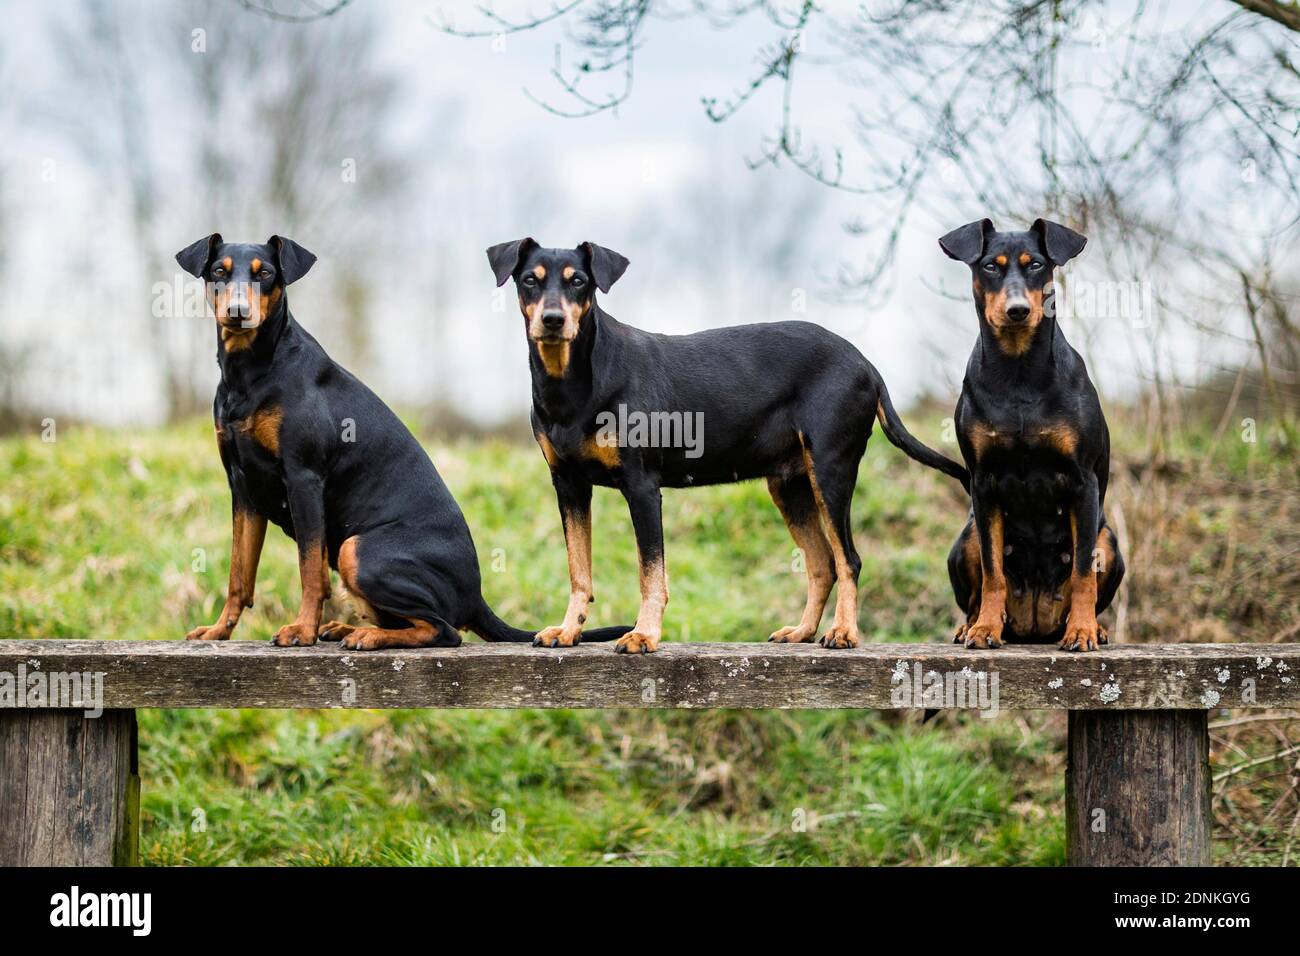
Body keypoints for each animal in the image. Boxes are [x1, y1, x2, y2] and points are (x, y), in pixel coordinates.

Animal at [178, 232, 634, 650]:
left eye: (265, 274)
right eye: (219, 271)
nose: (238, 313)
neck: (251, 372)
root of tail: (475, 598)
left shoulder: (303, 478)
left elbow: (309, 572)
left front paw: (302, 630)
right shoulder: (243, 488)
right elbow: (239, 574)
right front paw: (218, 631)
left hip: (355, 550)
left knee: (445, 631)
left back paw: (366, 635)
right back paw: (349, 628)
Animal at [480, 240, 967, 658]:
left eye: (579, 280)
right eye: (530, 280)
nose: (553, 320)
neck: (574, 383)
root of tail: (867, 364)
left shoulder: (642, 487)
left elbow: (650, 573)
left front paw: (643, 635)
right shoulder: (569, 485)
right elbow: (578, 570)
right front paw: (567, 631)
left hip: (831, 470)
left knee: (848, 559)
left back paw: (843, 632)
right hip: (790, 484)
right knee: (821, 562)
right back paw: (803, 631)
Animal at [941, 218, 1123, 650]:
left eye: (1036, 264)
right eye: (990, 266)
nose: (1018, 310)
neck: (1018, 368)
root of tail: (1035, 624)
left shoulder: (1083, 481)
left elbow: (1082, 573)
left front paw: (1082, 631)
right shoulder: (983, 483)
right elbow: (993, 572)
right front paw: (985, 630)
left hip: (1109, 543)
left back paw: (1094, 627)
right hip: (968, 536)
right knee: (977, 590)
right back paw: (971, 625)